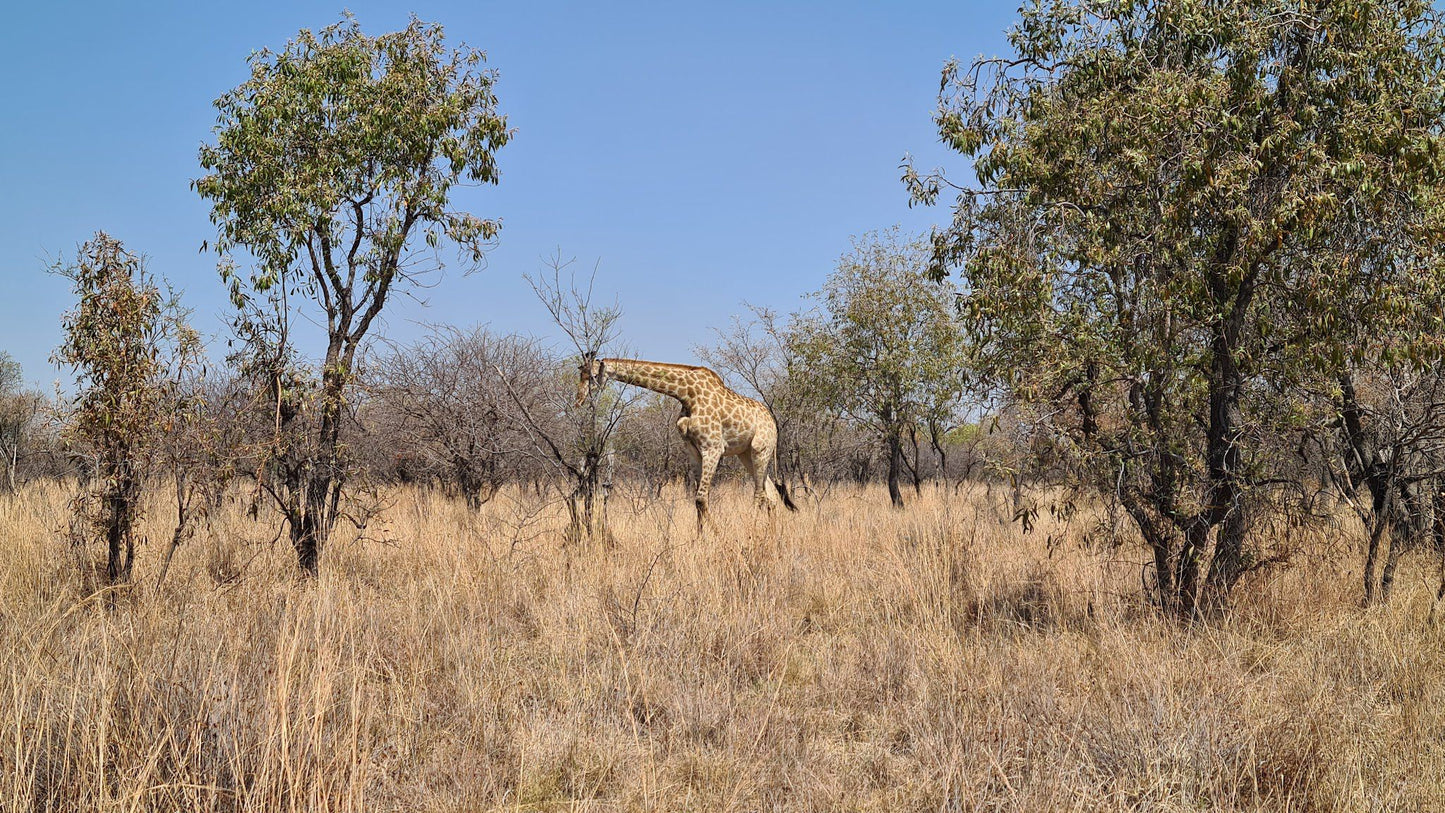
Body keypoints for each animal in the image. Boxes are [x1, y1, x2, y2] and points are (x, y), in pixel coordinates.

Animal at [578, 353, 803, 531]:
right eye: (580, 374)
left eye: (590, 376)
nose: (578, 400)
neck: (685, 394)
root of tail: (774, 423)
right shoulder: (693, 450)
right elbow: (698, 500)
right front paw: (700, 540)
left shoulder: (713, 448)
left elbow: (701, 498)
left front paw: (717, 536)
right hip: (745, 454)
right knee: (771, 495)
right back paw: (771, 534)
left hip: (760, 449)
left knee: (759, 494)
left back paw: (753, 531)